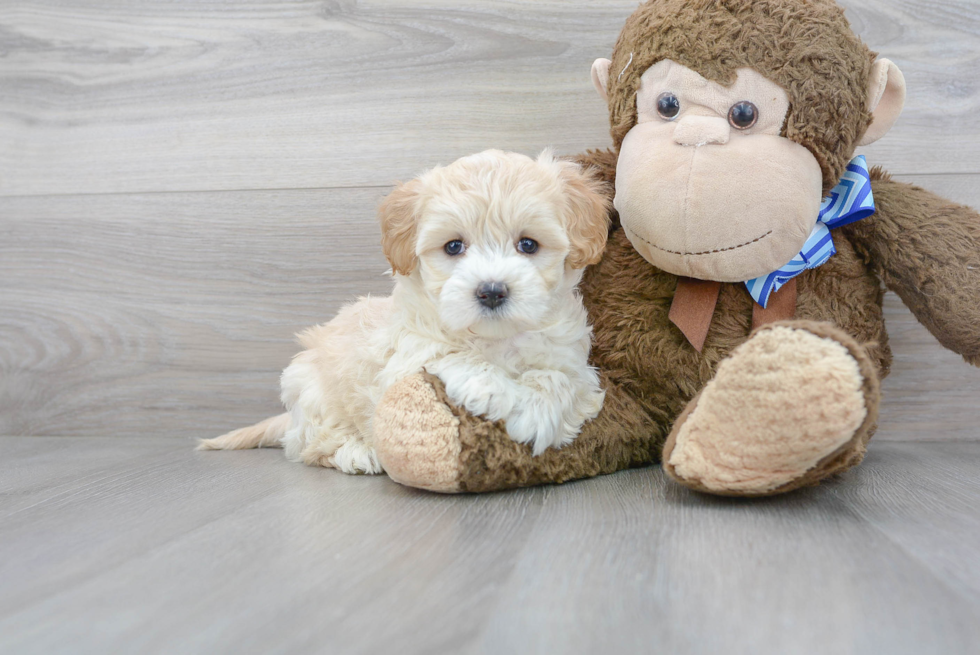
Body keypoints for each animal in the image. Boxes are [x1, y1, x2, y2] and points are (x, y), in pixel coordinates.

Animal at [200, 151, 608, 474]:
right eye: (454, 246)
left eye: (528, 244)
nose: (491, 291)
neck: (494, 337)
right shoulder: (409, 355)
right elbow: (455, 356)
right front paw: (494, 390)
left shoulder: (572, 360)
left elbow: (560, 379)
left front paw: (538, 413)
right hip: (312, 392)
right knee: (312, 446)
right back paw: (357, 453)